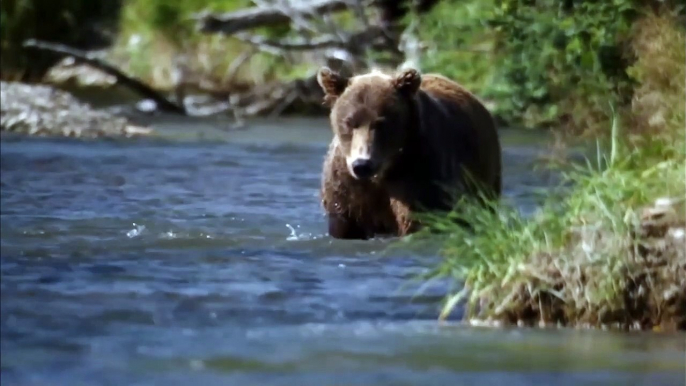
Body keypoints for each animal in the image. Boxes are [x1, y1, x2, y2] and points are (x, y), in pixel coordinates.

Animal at [316, 67, 500, 238]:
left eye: (381, 123)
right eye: (349, 122)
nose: (362, 164)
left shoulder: (419, 173)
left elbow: (420, 216)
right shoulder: (346, 188)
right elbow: (344, 222)